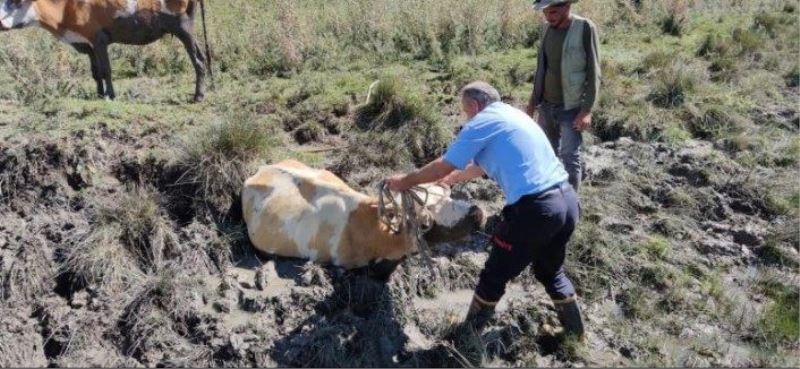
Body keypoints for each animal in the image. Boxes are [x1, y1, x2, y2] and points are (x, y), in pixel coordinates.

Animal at [0, 0, 209, 100]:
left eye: (17, 1)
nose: (1, 23)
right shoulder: (87, 44)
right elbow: (96, 72)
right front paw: (100, 93)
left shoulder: (99, 39)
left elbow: (106, 70)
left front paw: (111, 95)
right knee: (203, 56)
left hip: (182, 26)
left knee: (198, 60)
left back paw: (198, 96)